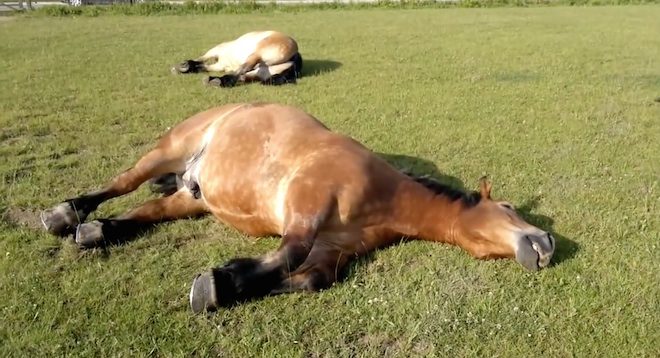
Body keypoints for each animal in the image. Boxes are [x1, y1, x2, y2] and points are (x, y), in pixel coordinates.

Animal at [41, 103, 556, 314]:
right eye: (508, 206)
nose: (547, 244)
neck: (384, 196)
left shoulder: (334, 249)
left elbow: (310, 279)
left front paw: (227, 287)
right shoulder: (306, 209)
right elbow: (288, 255)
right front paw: (217, 283)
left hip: (190, 199)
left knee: (143, 211)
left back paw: (96, 232)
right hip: (166, 151)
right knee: (119, 185)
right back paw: (64, 215)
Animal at [171, 31, 302, 88]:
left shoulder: (218, 53)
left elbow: (201, 60)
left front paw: (184, 66)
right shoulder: (219, 64)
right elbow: (202, 65)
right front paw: (186, 67)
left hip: (257, 56)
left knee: (243, 69)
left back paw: (218, 81)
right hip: (260, 70)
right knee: (243, 75)